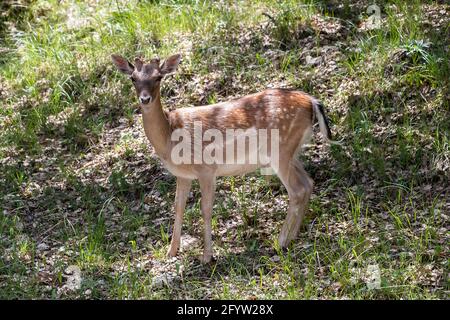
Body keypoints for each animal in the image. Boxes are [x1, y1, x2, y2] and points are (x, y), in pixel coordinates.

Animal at [111, 53, 330, 262]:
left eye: (158, 77)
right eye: (132, 78)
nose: (145, 99)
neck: (169, 136)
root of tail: (312, 102)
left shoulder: (206, 169)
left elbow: (206, 208)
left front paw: (207, 256)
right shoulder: (183, 175)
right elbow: (178, 207)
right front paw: (171, 252)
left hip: (280, 149)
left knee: (297, 189)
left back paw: (281, 240)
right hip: (292, 151)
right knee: (308, 183)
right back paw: (292, 236)